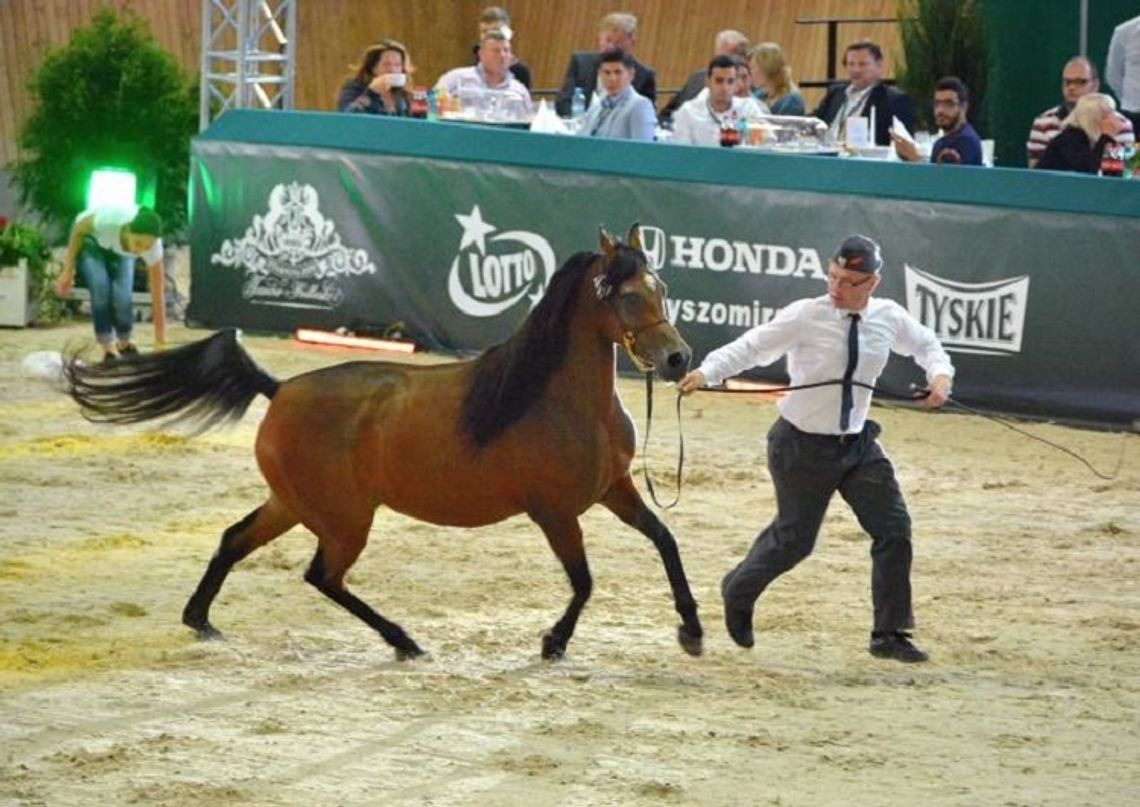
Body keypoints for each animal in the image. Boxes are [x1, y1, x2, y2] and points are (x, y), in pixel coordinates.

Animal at [66, 223, 702, 661]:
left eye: (663, 286)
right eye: (626, 295)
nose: (678, 359)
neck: (560, 401)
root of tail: (279, 389)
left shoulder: (613, 488)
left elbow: (666, 540)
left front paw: (692, 630)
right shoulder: (554, 512)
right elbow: (585, 581)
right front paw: (553, 642)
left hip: (294, 505)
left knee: (235, 540)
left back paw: (202, 620)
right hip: (345, 519)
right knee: (322, 576)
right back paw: (404, 640)